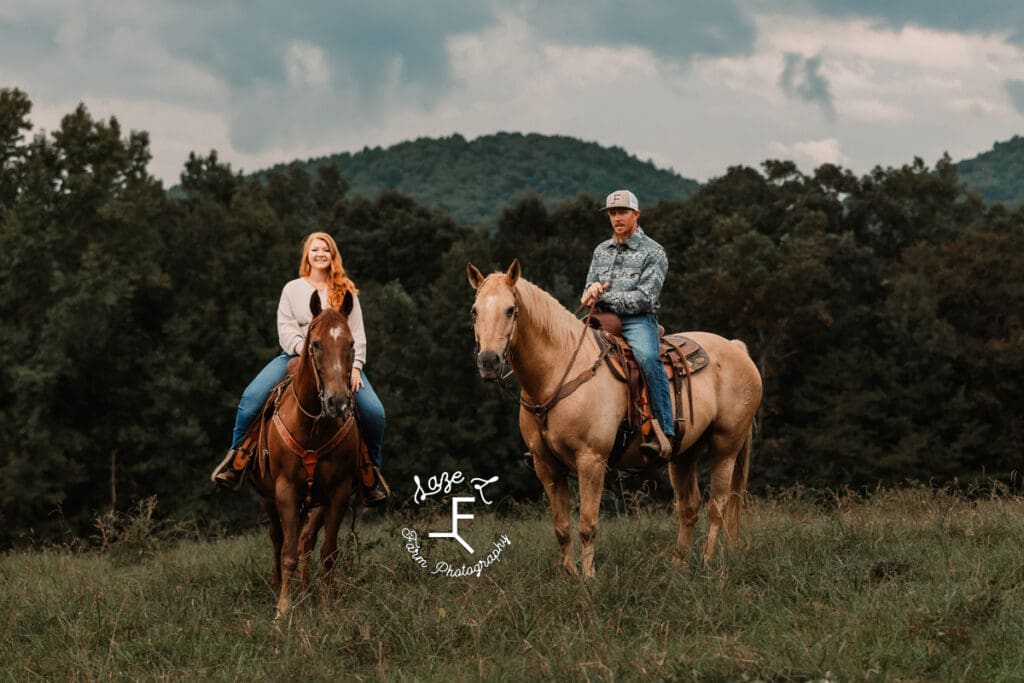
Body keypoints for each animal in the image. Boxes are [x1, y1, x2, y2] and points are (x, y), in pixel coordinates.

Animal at [252, 290, 362, 618]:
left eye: (351, 344)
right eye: (315, 344)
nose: (338, 403)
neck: (313, 427)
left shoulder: (338, 492)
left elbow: (327, 552)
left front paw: (325, 603)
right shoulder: (286, 490)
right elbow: (287, 552)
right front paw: (282, 609)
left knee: (306, 540)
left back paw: (306, 588)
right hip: (269, 497)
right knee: (278, 539)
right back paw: (279, 584)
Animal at [468, 260, 765, 577]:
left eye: (510, 309)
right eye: (475, 311)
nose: (488, 361)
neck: (559, 373)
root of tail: (736, 348)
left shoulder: (591, 461)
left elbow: (587, 525)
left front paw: (588, 578)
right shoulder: (545, 464)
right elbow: (562, 527)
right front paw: (568, 576)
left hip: (726, 446)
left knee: (717, 505)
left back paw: (707, 565)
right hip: (684, 453)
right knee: (689, 506)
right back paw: (677, 566)